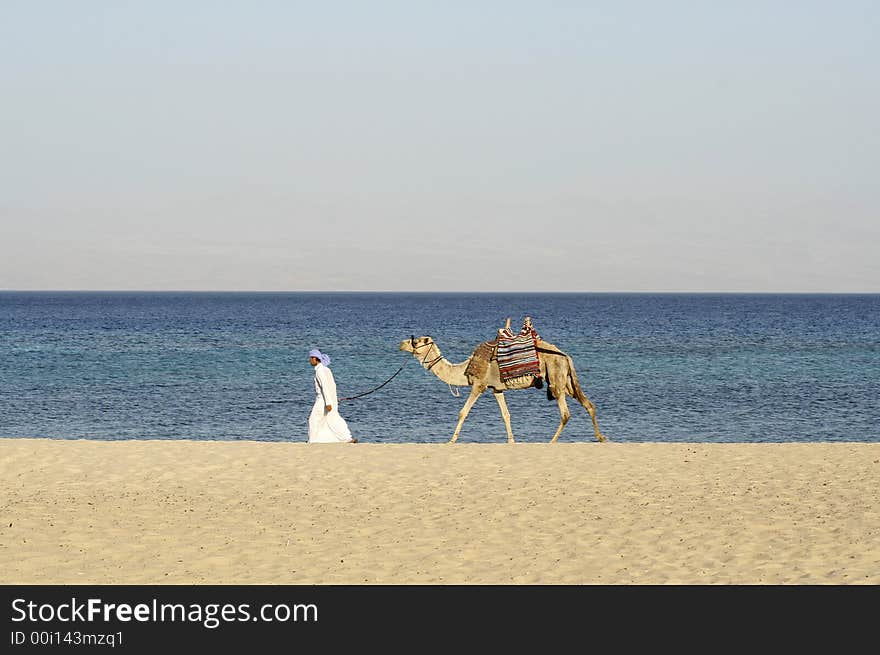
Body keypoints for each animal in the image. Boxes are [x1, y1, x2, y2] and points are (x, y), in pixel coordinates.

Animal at [398, 324, 604, 446]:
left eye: (416, 341)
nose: (401, 343)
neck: (465, 368)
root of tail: (566, 356)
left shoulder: (479, 385)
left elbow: (463, 412)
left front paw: (451, 441)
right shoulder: (496, 388)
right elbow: (506, 415)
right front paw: (511, 441)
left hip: (555, 376)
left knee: (565, 412)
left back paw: (551, 441)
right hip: (567, 381)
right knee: (588, 404)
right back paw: (600, 437)